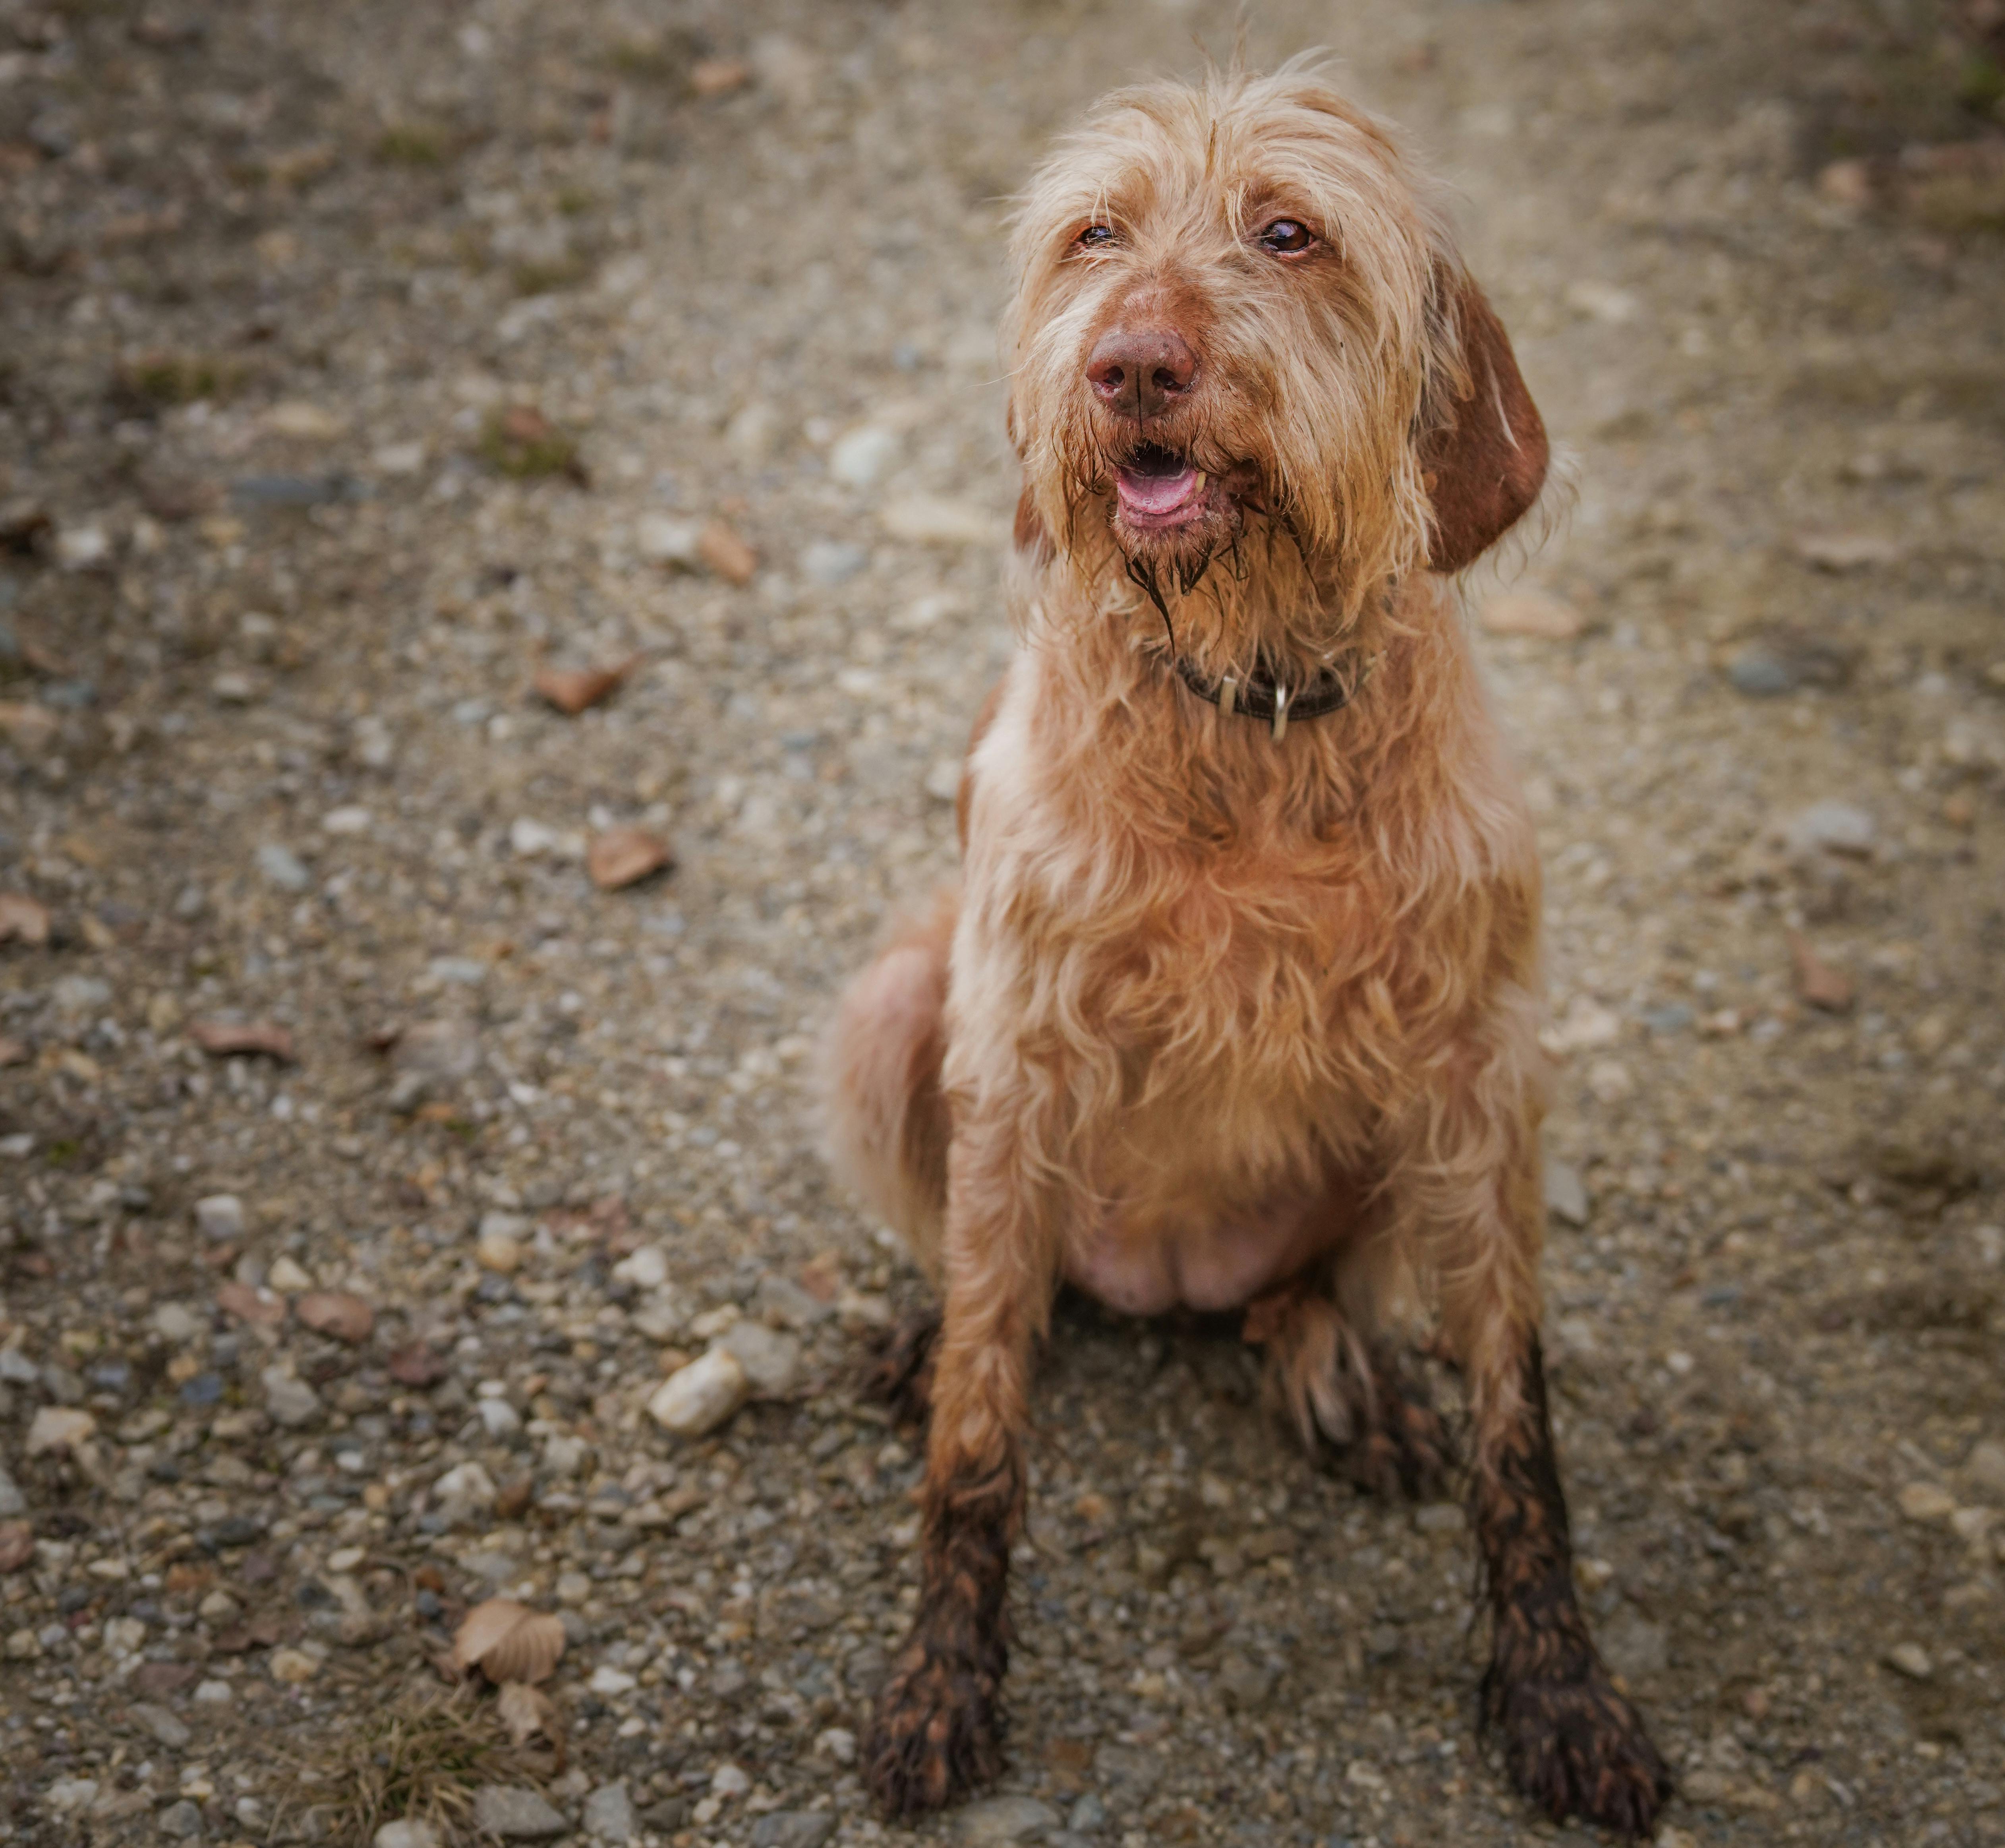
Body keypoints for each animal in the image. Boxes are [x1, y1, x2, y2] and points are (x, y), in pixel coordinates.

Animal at [822, 54, 1668, 1828]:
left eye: (1288, 233)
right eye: (1092, 235)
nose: (1130, 362)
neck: (1253, 699)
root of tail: (1162, 1282)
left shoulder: (1479, 1074)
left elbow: (1520, 1426)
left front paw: (1561, 1691)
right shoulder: (1016, 1044)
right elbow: (978, 1435)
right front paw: (939, 1675)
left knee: (1305, 1289)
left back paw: (1335, 1363)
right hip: (894, 1009)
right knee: (991, 1277)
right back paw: (937, 1320)